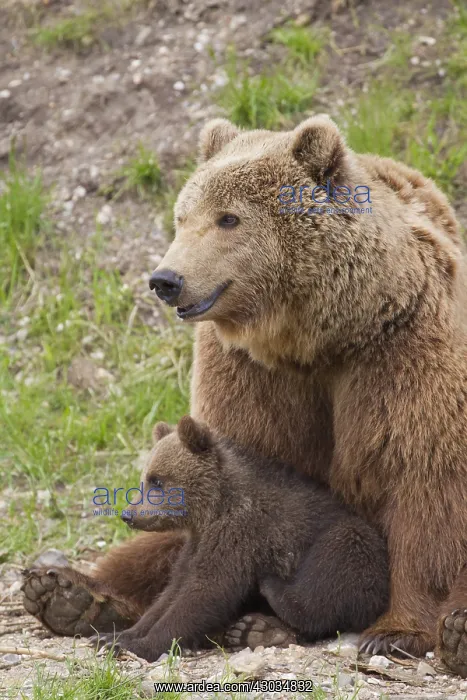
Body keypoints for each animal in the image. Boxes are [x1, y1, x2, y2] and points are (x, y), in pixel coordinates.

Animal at [86, 415, 389, 661]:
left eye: (157, 480)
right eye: (144, 479)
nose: (129, 514)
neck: (215, 506)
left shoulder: (241, 533)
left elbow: (206, 592)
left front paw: (140, 645)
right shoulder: (198, 543)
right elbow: (171, 592)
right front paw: (114, 637)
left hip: (352, 545)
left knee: (334, 570)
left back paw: (272, 593)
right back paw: (255, 630)